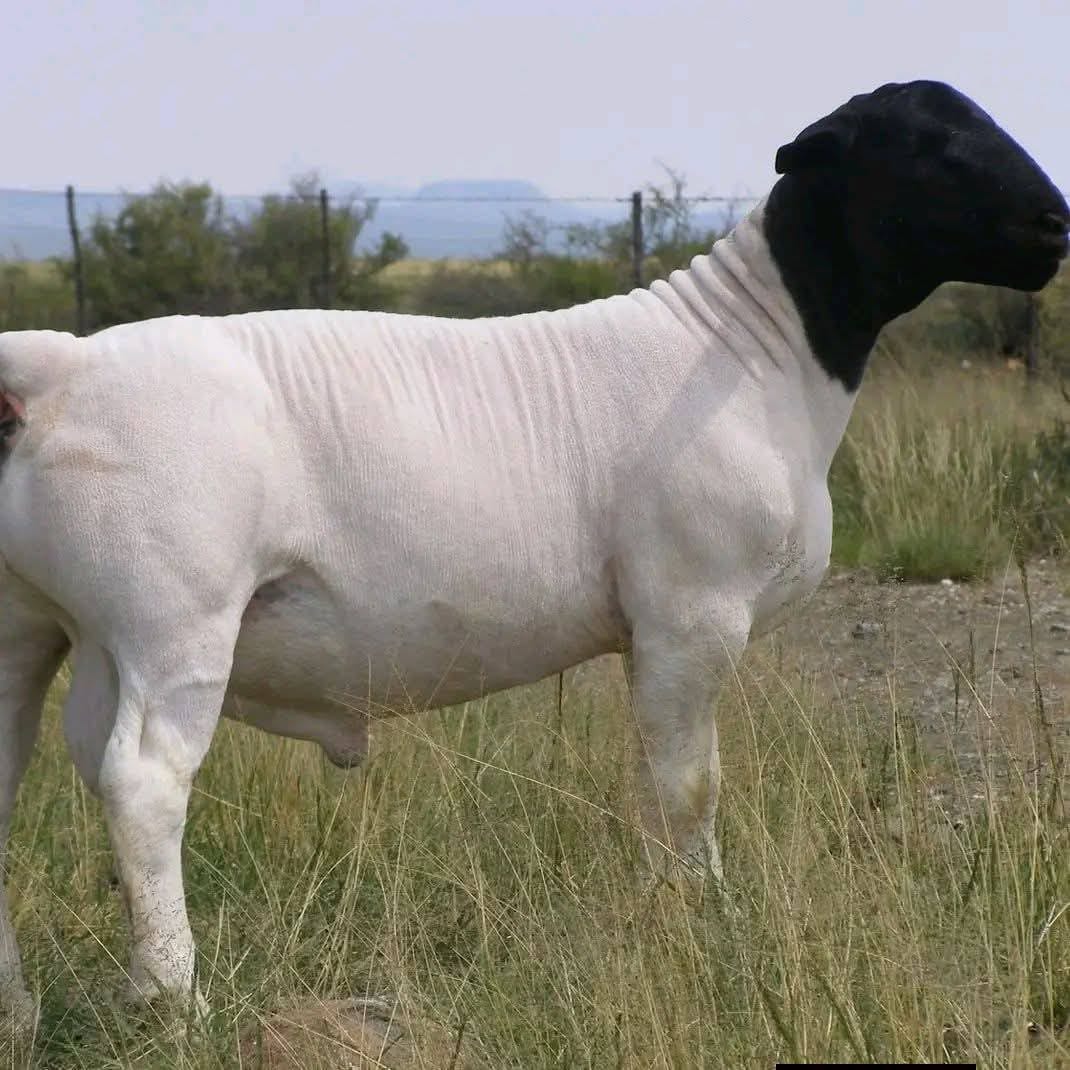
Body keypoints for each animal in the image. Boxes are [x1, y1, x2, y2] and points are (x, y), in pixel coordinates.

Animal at [0, 79, 1066, 1018]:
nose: (1056, 223)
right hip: (173, 619)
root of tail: (62, 368)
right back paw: (172, 997)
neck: (758, 351)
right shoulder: (691, 614)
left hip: (37, 630)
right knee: (145, 786)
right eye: (927, 143)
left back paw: (19, 1006)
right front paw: (698, 921)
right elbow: (685, 787)